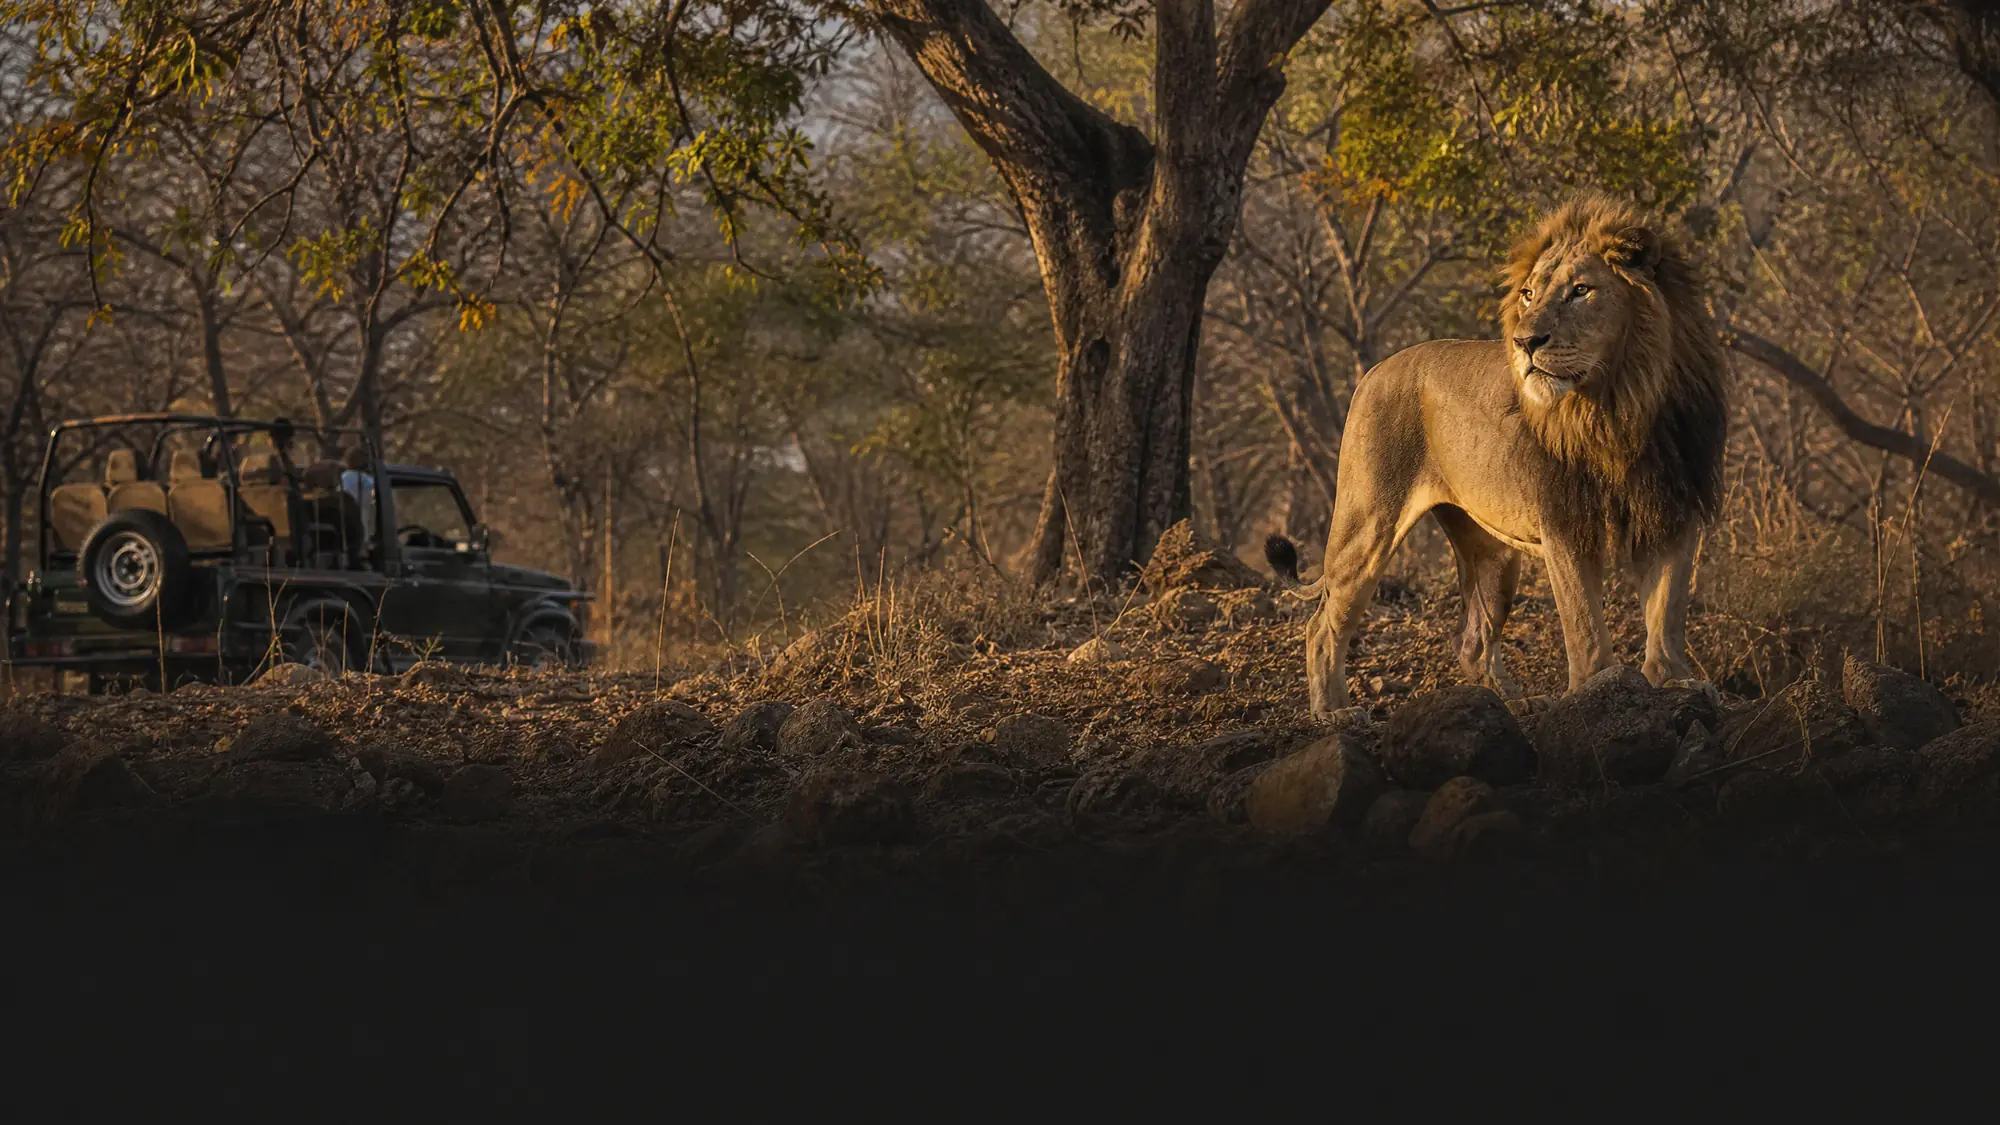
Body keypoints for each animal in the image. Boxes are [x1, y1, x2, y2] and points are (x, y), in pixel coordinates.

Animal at [1265, 195, 1727, 716]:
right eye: (1527, 294)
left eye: (1581, 290)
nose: (1525, 342)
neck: (1617, 405)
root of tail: (1374, 370)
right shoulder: (1564, 522)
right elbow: (1584, 624)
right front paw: (1598, 688)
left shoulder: (1673, 511)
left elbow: (1667, 611)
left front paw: (1674, 680)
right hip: (1367, 522)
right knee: (1322, 625)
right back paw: (1334, 710)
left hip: (1492, 554)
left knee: (1472, 637)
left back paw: (1514, 703)